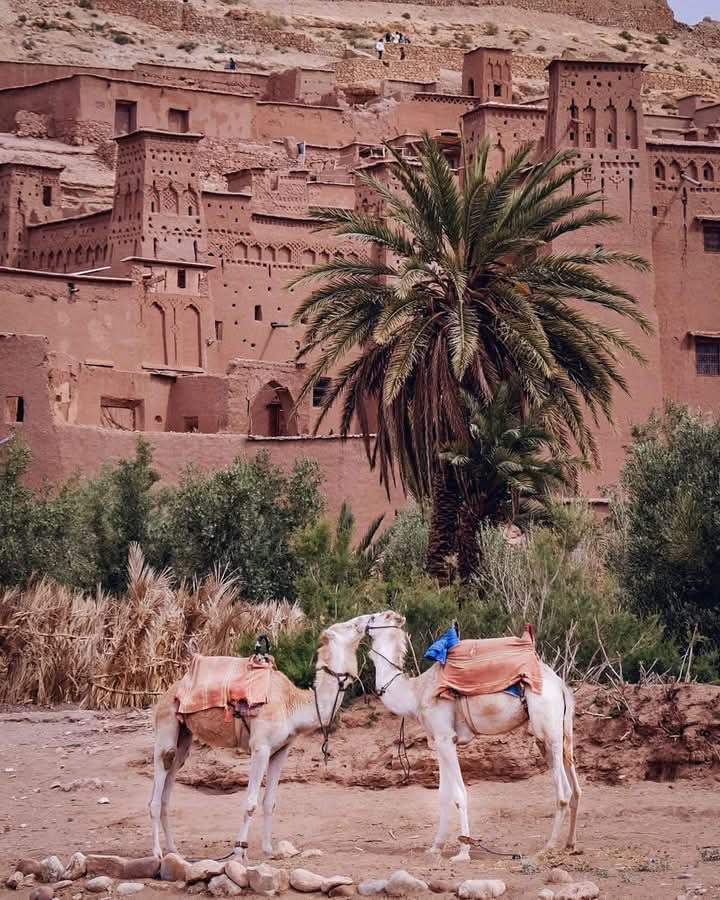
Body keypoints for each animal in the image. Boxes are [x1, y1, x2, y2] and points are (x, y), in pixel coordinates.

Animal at [149, 614, 372, 860]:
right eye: (349, 625)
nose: (369, 619)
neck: (293, 706)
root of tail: (169, 691)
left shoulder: (281, 750)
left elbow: (270, 802)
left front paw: (268, 849)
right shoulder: (260, 747)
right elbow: (250, 803)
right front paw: (239, 852)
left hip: (184, 736)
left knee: (170, 782)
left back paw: (174, 851)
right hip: (166, 722)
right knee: (159, 782)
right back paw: (157, 852)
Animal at [364, 610, 581, 861]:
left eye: (374, 617)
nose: (361, 624)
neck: (414, 693)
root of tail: (561, 686)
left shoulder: (445, 736)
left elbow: (459, 794)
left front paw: (463, 851)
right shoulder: (440, 741)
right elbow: (443, 794)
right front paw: (435, 847)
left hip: (547, 727)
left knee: (564, 792)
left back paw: (548, 847)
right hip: (561, 732)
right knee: (575, 788)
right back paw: (570, 844)